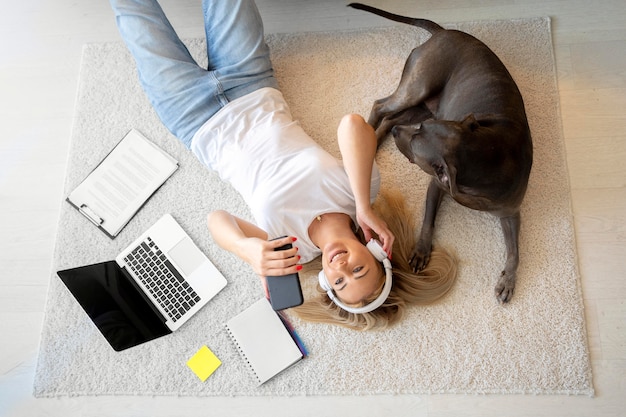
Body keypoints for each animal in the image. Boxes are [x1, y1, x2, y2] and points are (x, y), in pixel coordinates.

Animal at [348, 3, 528, 302]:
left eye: (416, 142)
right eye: (419, 135)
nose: (400, 135)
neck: (485, 156)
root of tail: (443, 32)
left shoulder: (511, 212)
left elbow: (514, 251)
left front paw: (508, 281)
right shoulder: (436, 184)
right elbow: (428, 220)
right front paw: (421, 250)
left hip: (422, 106)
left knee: (390, 118)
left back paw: (376, 137)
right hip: (418, 89)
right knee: (381, 107)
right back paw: (366, 135)